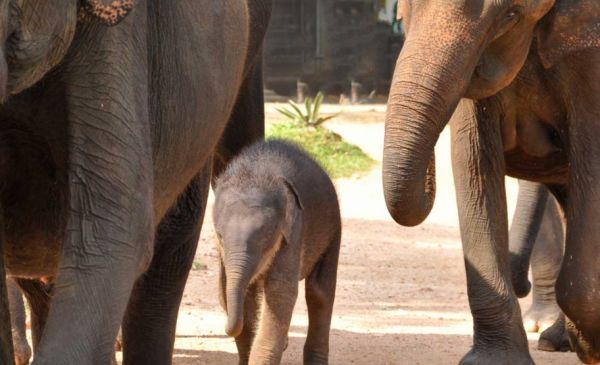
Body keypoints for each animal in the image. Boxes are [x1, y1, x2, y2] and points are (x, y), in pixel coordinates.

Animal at [213, 140, 340, 364]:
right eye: (220, 235)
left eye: (267, 236)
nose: (226, 330)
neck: (254, 172)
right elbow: (229, 288)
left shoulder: (294, 229)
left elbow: (280, 292)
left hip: (333, 230)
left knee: (319, 292)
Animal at [384, 0, 600, 362]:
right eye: (405, 9)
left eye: (510, 15)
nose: (520, 281)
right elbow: (472, 160)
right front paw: (495, 360)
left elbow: (592, 159)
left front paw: (589, 345)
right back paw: (553, 340)